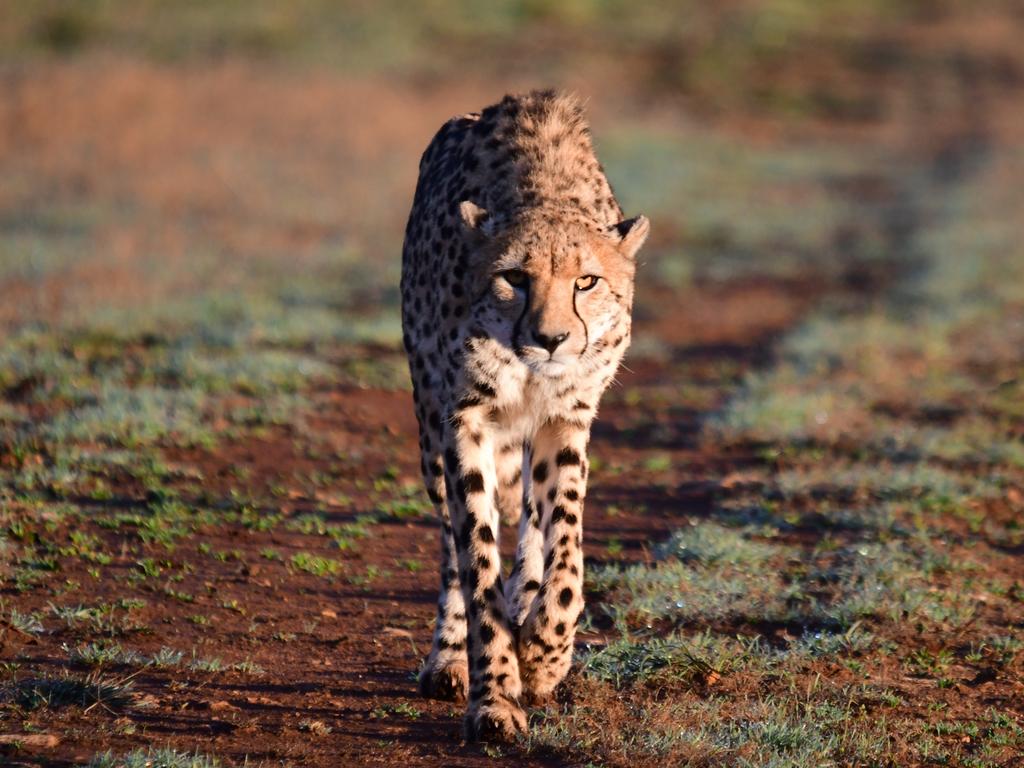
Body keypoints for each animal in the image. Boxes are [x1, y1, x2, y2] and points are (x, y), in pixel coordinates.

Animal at [399, 91, 647, 745]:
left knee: (533, 524)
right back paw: (449, 658)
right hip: (429, 431)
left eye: (587, 281)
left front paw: (542, 656)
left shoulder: (568, 419)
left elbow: (567, 549)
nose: (552, 338)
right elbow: (476, 559)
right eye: (514, 277)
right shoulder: (464, 421)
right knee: (451, 544)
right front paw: (494, 697)